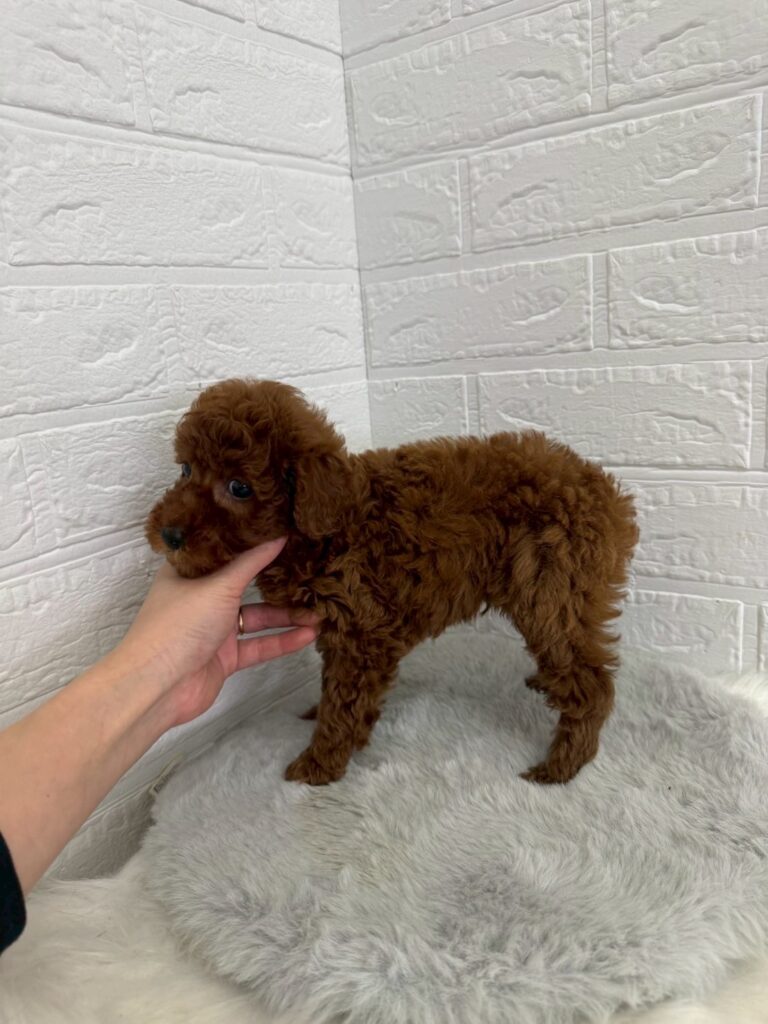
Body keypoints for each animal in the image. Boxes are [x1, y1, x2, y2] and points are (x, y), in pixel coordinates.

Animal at [146, 379, 638, 786]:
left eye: (239, 488)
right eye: (186, 471)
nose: (168, 536)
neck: (328, 526)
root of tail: (605, 490)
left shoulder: (364, 633)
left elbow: (344, 702)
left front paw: (318, 765)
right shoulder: (343, 632)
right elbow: (334, 690)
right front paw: (318, 717)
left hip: (552, 589)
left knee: (591, 679)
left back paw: (562, 765)